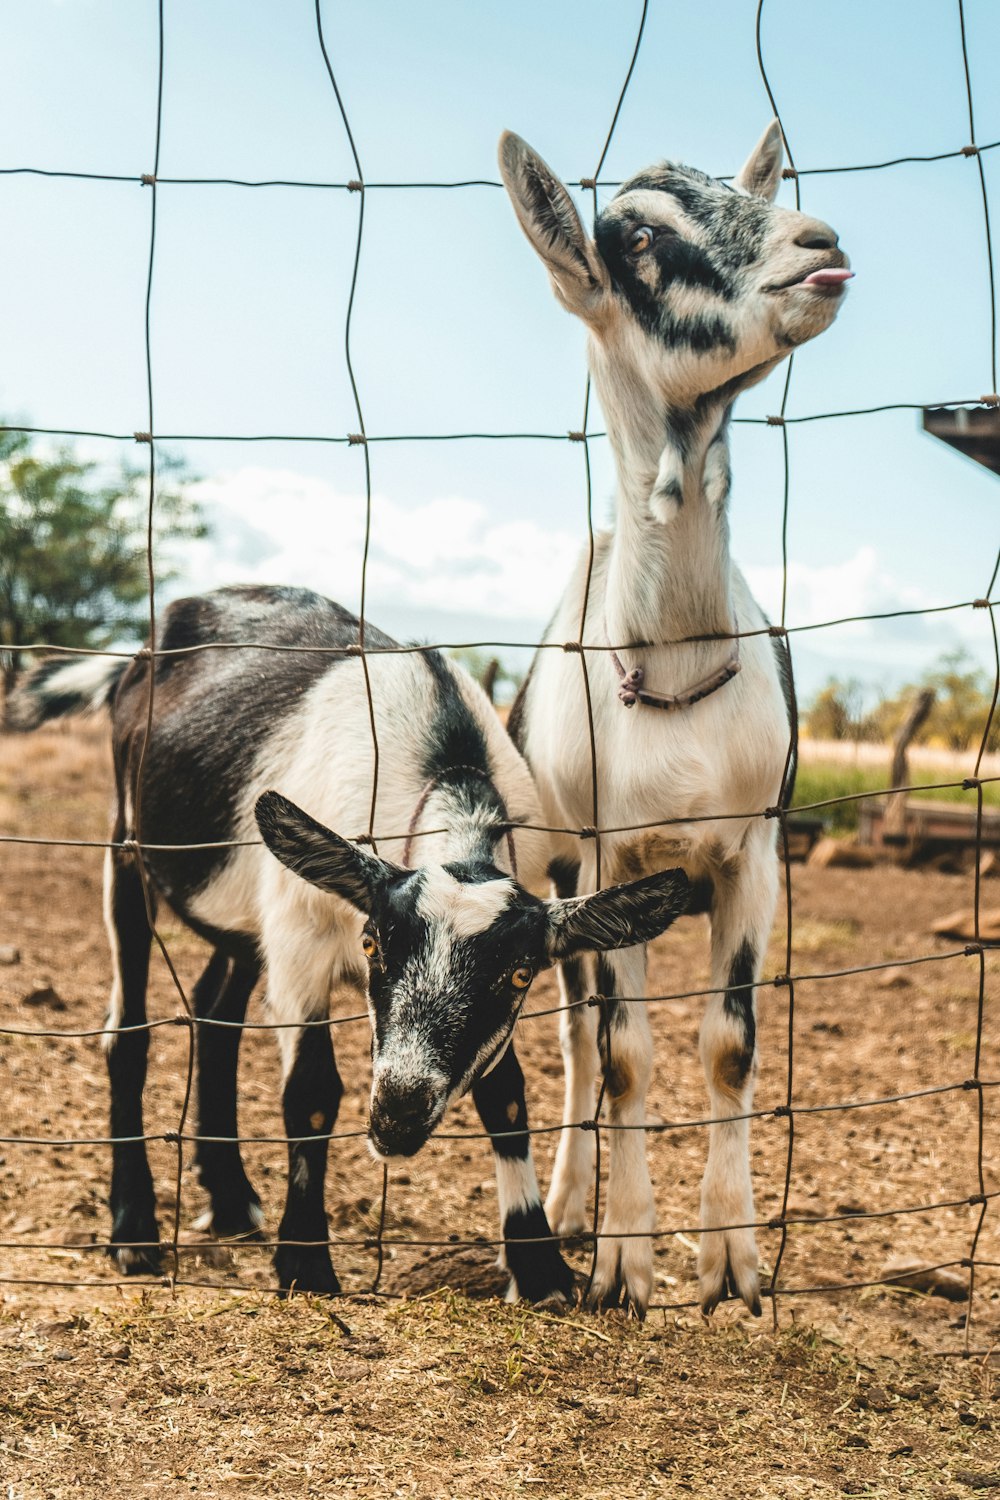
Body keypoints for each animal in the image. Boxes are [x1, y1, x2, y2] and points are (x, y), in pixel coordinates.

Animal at [13, 585, 689, 1302]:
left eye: (518, 975)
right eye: (373, 946)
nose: (397, 1114)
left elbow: (504, 1090)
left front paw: (539, 1266)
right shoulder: (300, 945)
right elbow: (311, 1093)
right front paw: (306, 1263)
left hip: (243, 916)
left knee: (216, 1016)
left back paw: (231, 1201)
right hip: (127, 847)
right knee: (128, 1031)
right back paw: (134, 1228)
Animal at [500, 126, 851, 1314]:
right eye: (641, 236)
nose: (819, 245)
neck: (681, 670)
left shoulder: (752, 853)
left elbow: (728, 1046)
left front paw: (731, 1262)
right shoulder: (615, 864)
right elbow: (623, 1056)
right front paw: (622, 1262)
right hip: (553, 870)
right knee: (572, 1037)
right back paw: (568, 1204)